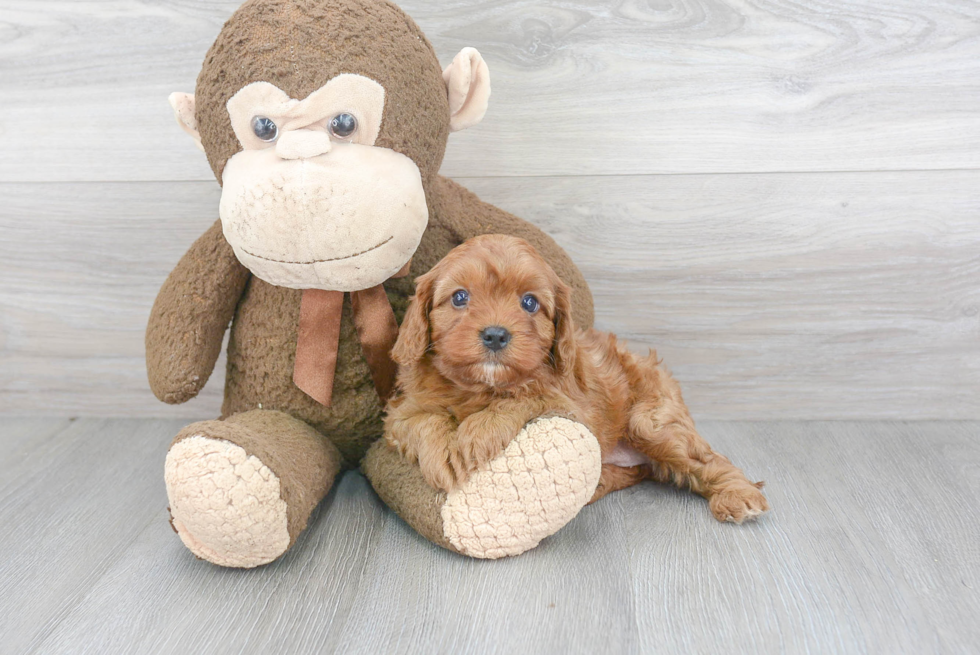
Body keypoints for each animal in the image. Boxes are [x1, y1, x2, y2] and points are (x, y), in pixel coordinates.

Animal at [386, 236, 768, 524]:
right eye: (460, 297)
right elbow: (423, 421)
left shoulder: (568, 402)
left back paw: (739, 495)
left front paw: (478, 433)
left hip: (652, 422)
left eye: (529, 303)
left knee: (709, 460)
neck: (480, 387)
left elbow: (523, 396)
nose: (495, 335)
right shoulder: (400, 412)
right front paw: (442, 454)